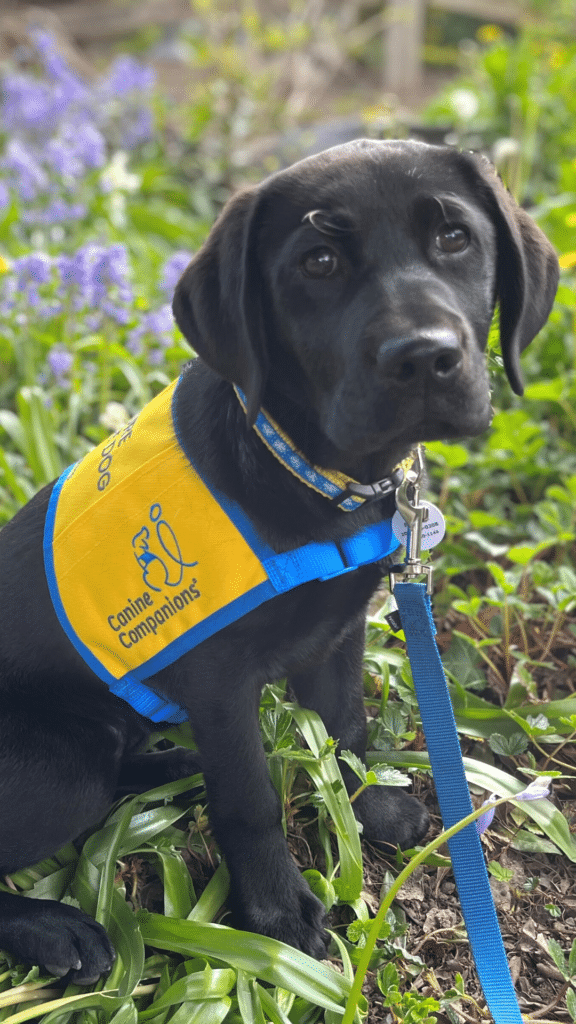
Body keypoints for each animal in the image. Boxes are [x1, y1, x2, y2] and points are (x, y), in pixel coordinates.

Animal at [0, 140, 557, 978]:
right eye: (318, 261)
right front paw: (275, 911)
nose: (425, 358)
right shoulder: (220, 680)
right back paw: (54, 927)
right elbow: (251, 799)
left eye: (455, 238)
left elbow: (348, 730)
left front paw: (371, 809)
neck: (312, 474)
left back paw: (169, 766)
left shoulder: (337, 636)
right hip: (60, 765)